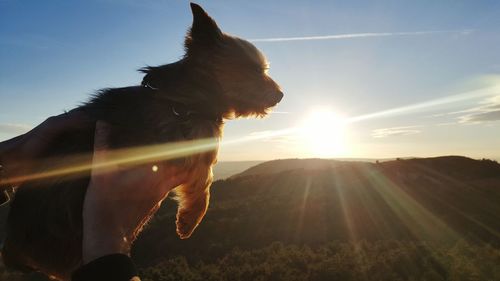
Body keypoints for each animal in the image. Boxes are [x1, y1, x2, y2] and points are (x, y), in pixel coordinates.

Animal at [0, 3, 282, 278]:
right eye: (254, 70)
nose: (280, 95)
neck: (187, 99)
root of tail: (15, 251)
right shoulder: (188, 149)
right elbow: (205, 180)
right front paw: (190, 219)